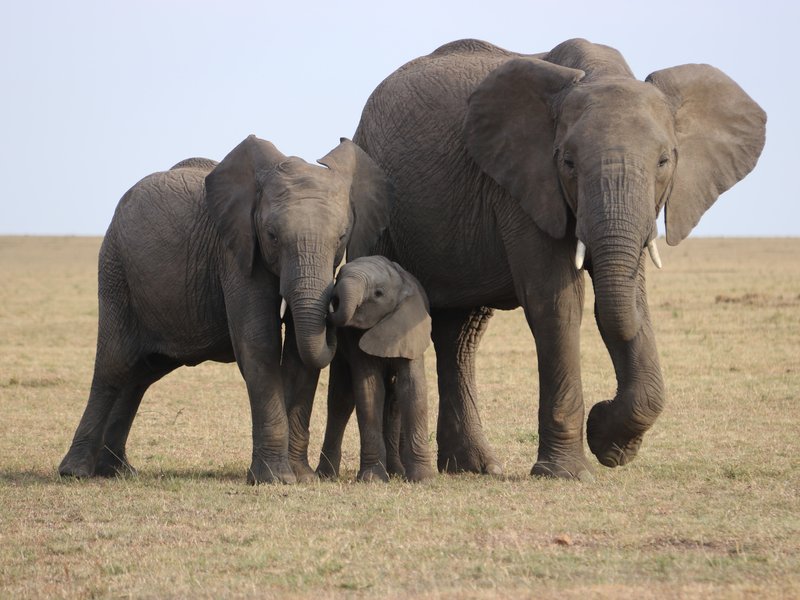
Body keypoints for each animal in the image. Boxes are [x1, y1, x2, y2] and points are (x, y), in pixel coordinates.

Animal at [58, 135, 391, 484]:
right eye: (272, 237)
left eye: (341, 237)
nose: (336, 305)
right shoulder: (234, 251)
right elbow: (259, 342)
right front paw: (275, 479)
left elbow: (299, 353)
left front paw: (301, 477)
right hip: (115, 269)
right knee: (114, 365)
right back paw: (76, 472)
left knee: (140, 374)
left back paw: (117, 471)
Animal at [316, 256, 435, 482]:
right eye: (339, 276)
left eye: (378, 293)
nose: (333, 299)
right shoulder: (354, 338)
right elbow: (370, 391)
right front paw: (372, 479)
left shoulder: (410, 329)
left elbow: (412, 389)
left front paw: (422, 479)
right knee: (340, 400)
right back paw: (325, 476)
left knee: (393, 403)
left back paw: (396, 472)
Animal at [351, 38, 766, 480]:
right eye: (567, 162)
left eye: (664, 161)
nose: (602, 413)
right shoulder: (523, 185)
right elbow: (557, 301)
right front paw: (570, 471)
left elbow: (629, 300)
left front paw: (612, 446)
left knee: (460, 335)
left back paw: (476, 467)